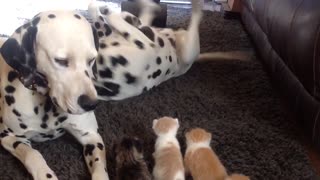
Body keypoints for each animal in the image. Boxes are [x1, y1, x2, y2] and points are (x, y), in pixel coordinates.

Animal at [0, 10, 109, 179]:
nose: (91, 103)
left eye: (92, 59)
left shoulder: (91, 136)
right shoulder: (10, 136)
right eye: (61, 61)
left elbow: (100, 168)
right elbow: (32, 154)